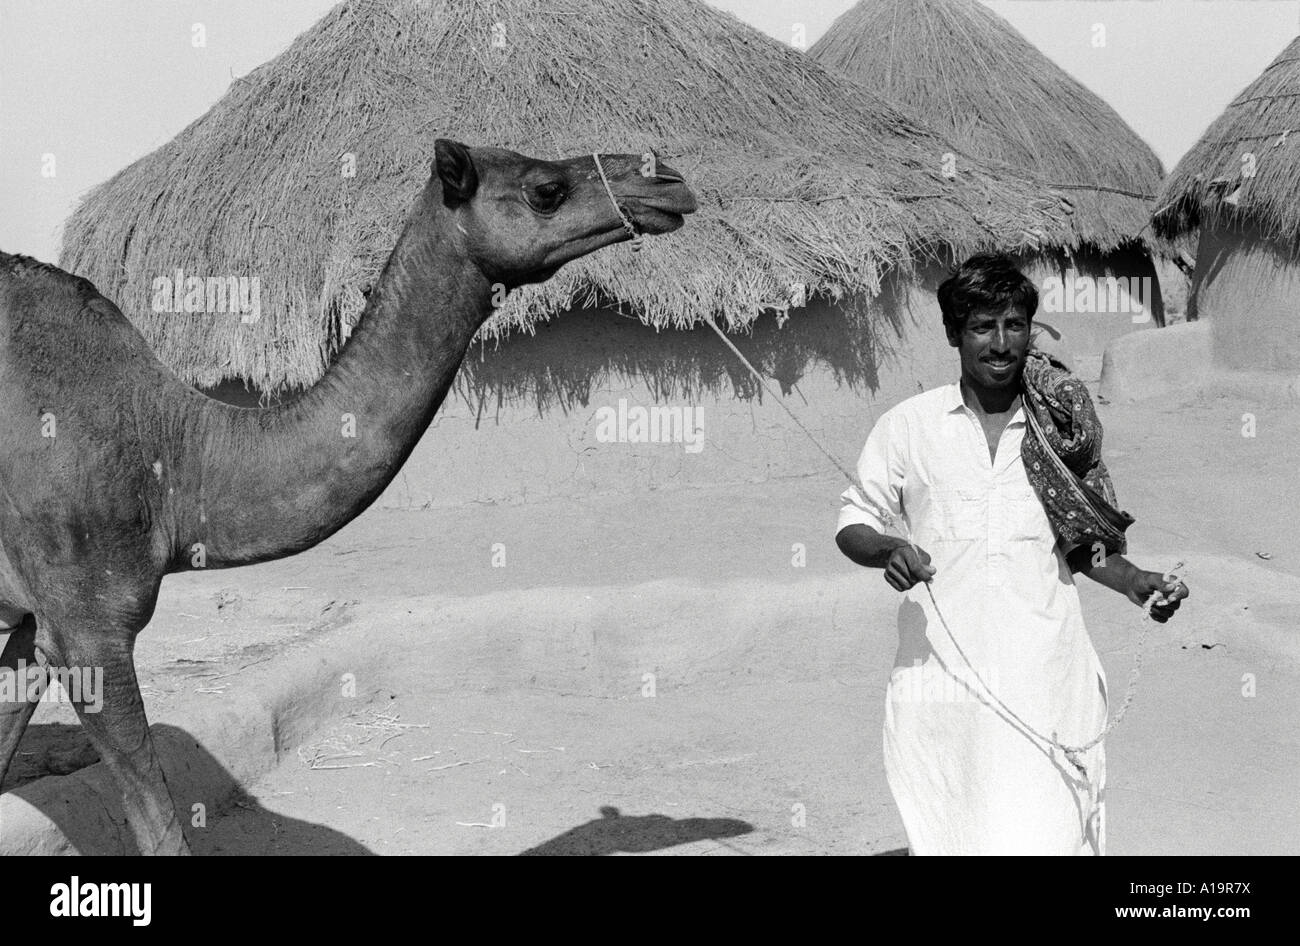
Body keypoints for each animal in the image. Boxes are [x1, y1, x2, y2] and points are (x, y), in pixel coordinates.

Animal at [0, 140, 696, 857]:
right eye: (545, 189)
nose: (668, 181)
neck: (177, 451)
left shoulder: (31, 618)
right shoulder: (88, 623)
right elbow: (159, 824)